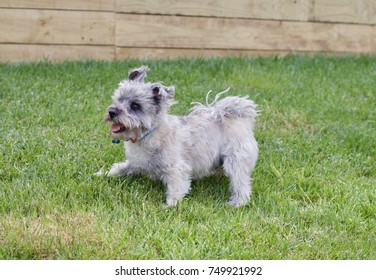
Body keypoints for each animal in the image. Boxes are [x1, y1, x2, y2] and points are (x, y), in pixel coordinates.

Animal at [101, 65, 258, 206]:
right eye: (119, 99)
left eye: (135, 105)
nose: (112, 112)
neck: (148, 134)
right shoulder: (136, 163)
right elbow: (118, 168)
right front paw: (102, 174)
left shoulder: (177, 169)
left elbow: (175, 190)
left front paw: (169, 206)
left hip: (236, 161)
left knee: (241, 184)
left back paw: (237, 202)